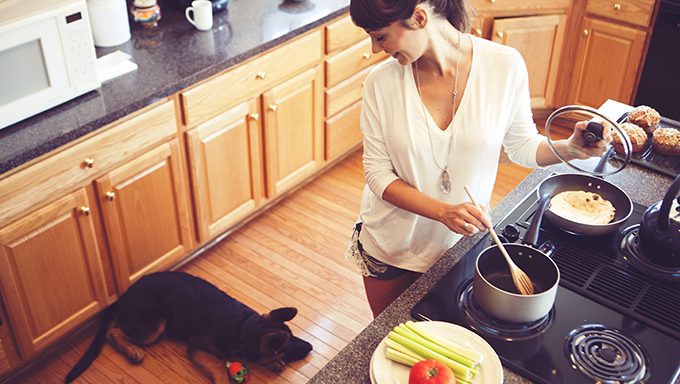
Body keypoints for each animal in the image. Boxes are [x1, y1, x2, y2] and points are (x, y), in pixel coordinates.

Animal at [62, 272, 312, 382]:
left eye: (293, 335)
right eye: (284, 348)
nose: (310, 347)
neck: (243, 327)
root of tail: (123, 296)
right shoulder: (198, 347)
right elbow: (218, 366)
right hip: (156, 325)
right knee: (114, 331)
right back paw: (133, 351)